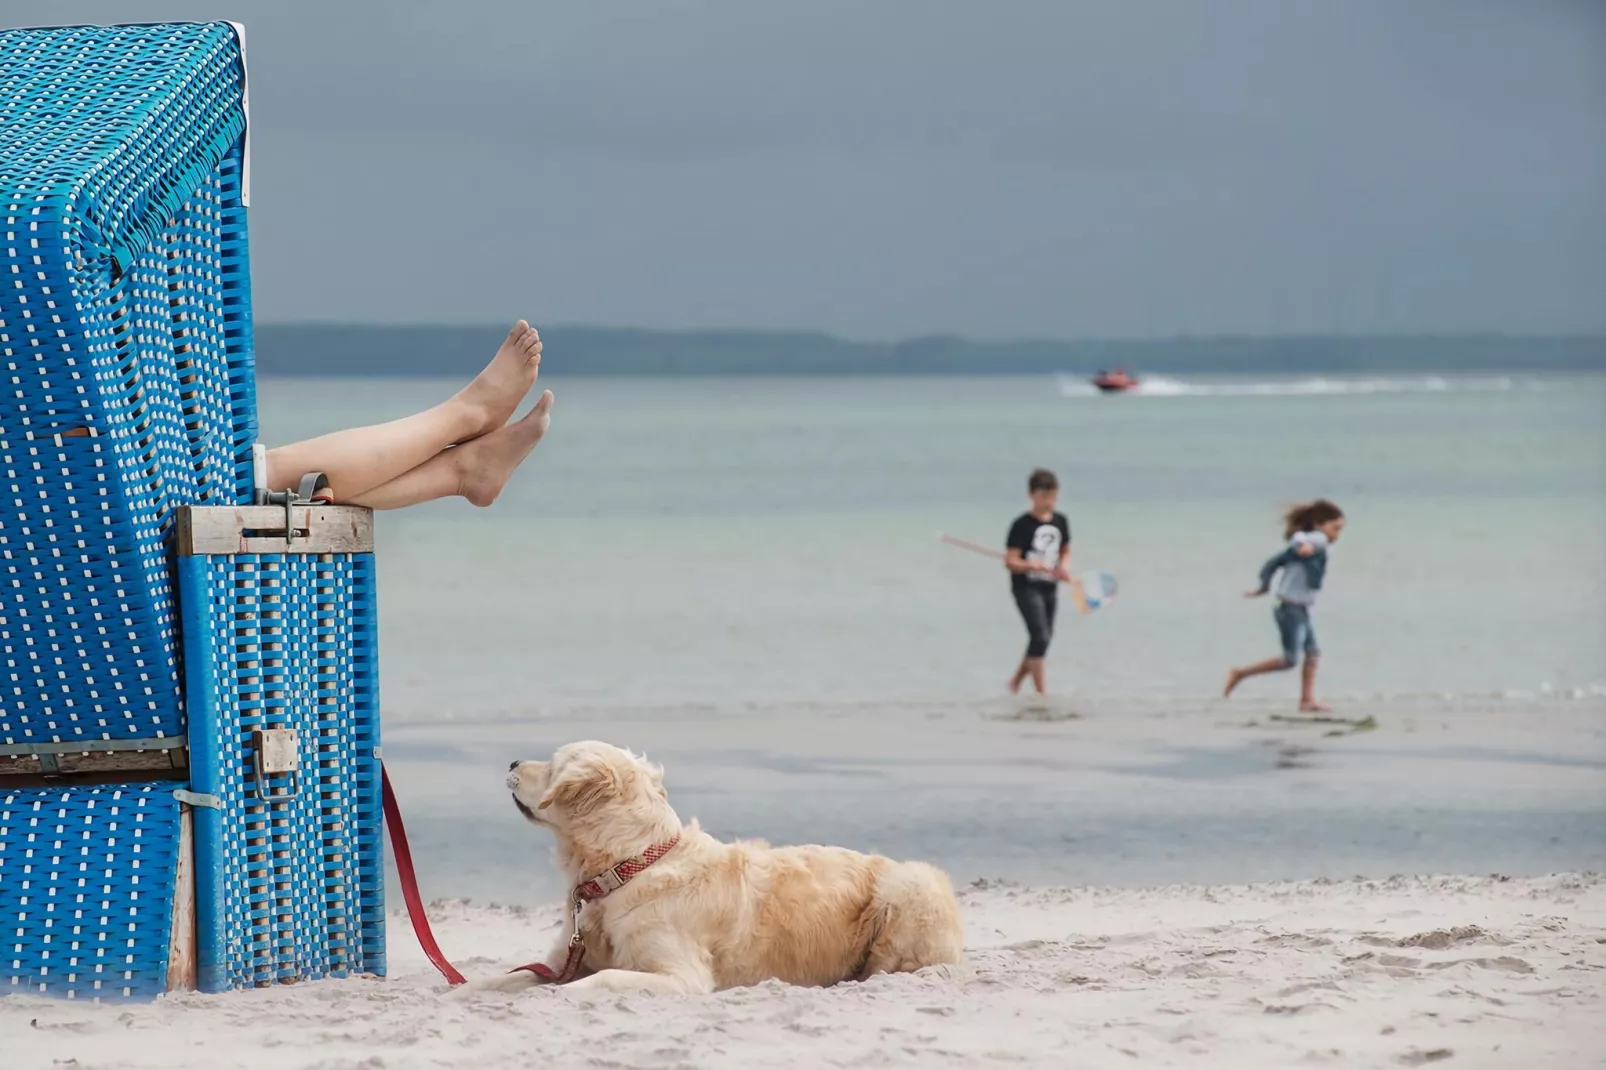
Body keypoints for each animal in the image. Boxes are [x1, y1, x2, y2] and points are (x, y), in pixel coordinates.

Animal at [468, 732, 963, 989]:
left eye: (552, 766)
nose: (512, 761)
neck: (627, 869)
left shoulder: (678, 974)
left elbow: (598, 980)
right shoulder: (561, 958)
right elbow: (493, 981)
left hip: (908, 889)